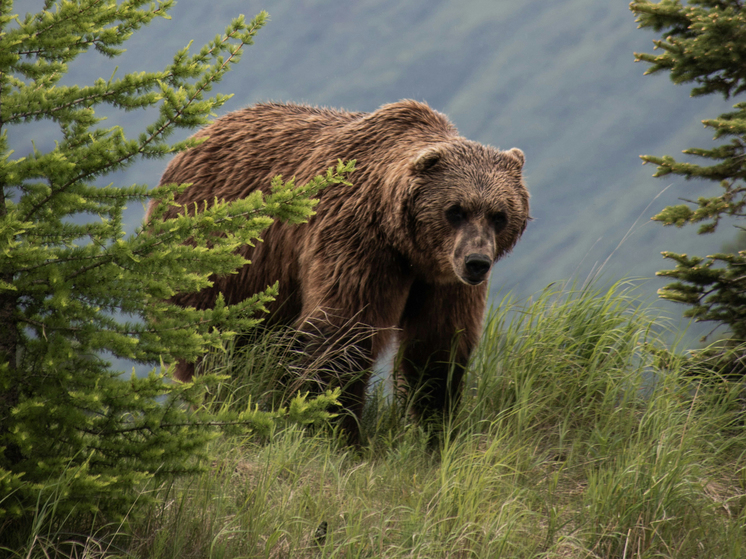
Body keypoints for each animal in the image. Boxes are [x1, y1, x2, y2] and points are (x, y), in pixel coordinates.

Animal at [147, 99, 528, 442]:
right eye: (455, 210)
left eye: (499, 215)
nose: (477, 262)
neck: (405, 245)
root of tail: (197, 137)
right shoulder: (357, 242)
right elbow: (343, 332)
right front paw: (335, 430)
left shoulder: (442, 279)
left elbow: (437, 345)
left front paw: (433, 428)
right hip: (218, 262)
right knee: (216, 346)